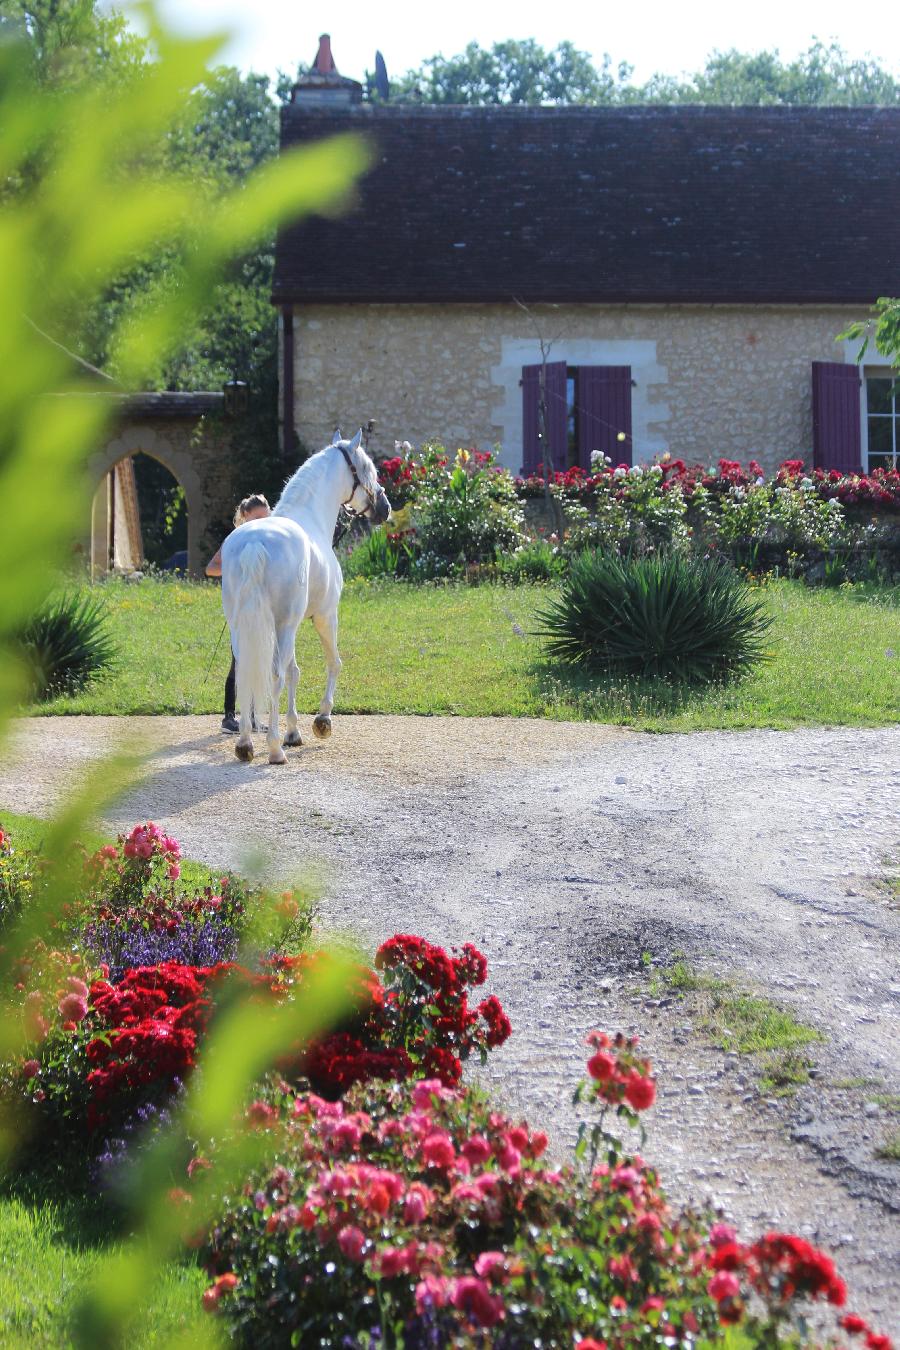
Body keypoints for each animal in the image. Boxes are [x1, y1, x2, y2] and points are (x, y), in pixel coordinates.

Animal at [221, 429, 391, 761]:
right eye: (369, 469)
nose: (385, 508)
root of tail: (254, 544)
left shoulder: (292, 624)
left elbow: (295, 671)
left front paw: (293, 732)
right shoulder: (325, 616)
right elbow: (333, 662)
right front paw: (322, 721)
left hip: (243, 627)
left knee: (247, 673)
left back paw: (246, 744)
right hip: (285, 625)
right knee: (274, 675)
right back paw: (274, 749)